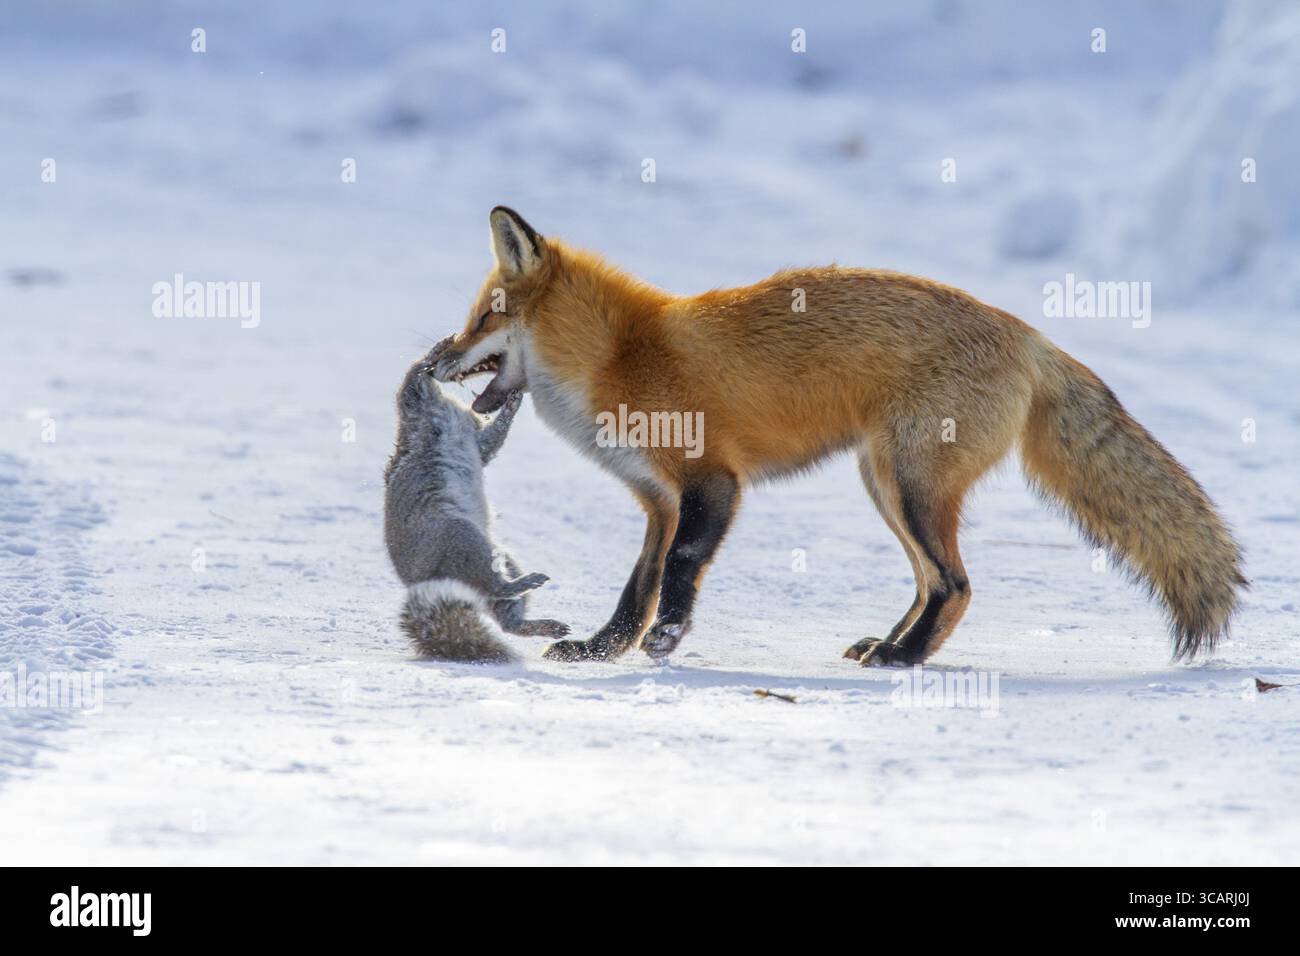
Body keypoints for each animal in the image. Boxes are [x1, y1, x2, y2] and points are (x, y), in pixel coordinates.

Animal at [385, 338, 569, 663]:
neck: (440, 406)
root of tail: (426, 582)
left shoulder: (473, 438)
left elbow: (489, 443)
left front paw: (512, 402)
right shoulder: (417, 412)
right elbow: (410, 384)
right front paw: (431, 354)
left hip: (501, 556)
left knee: (507, 619)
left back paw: (541, 623)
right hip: (461, 540)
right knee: (496, 588)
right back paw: (524, 584)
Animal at [432, 206, 1246, 667]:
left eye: (483, 319)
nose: (434, 359)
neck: (621, 356)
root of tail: (1028, 334)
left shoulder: (711, 483)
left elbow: (680, 573)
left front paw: (665, 641)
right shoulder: (658, 501)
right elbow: (638, 585)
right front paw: (606, 648)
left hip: (906, 484)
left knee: (956, 584)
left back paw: (902, 659)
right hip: (883, 483)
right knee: (932, 582)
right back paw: (889, 645)